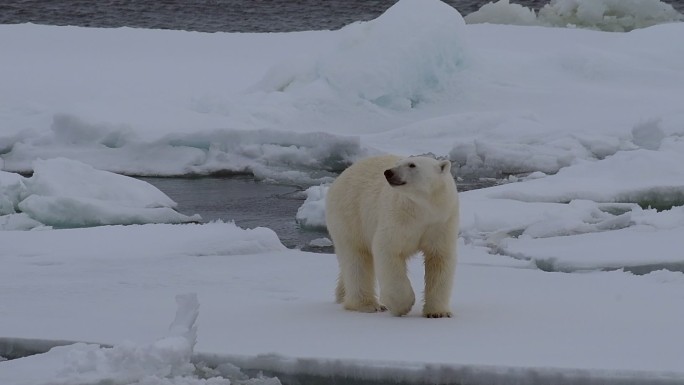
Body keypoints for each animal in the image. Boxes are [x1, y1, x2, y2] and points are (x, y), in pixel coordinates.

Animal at [326, 154, 460, 316]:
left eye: (412, 165)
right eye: (397, 163)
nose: (388, 172)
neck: (423, 210)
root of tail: (341, 177)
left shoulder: (442, 222)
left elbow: (439, 258)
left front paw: (438, 313)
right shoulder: (398, 217)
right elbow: (388, 249)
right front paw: (403, 304)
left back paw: (342, 295)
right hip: (350, 215)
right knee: (356, 258)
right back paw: (368, 305)